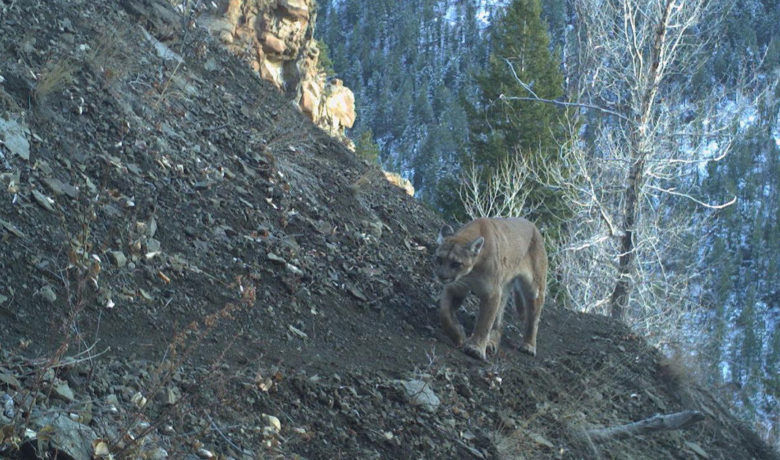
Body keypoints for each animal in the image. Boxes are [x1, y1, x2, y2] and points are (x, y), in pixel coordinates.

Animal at [433, 217, 547, 360]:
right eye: (439, 259)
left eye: (456, 263)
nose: (441, 276)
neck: (472, 271)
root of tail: (533, 226)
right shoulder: (456, 287)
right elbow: (444, 313)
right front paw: (459, 335)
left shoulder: (491, 293)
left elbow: (484, 322)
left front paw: (475, 348)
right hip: (503, 288)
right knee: (499, 322)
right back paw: (491, 343)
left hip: (534, 289)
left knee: (534, 318)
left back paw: (529, 346)